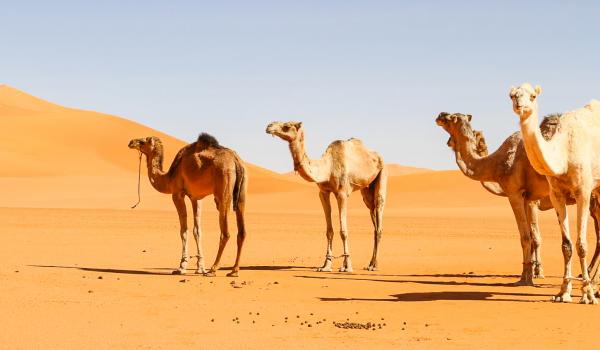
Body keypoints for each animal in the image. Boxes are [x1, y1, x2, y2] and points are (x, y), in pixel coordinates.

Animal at [126, 133, 248, 278]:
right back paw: (234, 270)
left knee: (225, 233)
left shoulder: (177, 194)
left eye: (143, 141)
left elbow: (184, 230)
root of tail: (236, 161)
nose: (131, 142)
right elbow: (197, 230)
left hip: (223, 187)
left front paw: (181, 267)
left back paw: (213, 269)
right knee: (242, 231)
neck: (169, 177)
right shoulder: (196, 197)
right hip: (242, 193)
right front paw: (200, 267)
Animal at [264, 121, 386, 272]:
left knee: (379, 213)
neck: (328, 168)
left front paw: (347, 266)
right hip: (366, 190)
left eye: (287, 125)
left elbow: (343, 231)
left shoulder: (342, 193)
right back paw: (369, 263)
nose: (269, 126)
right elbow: (329, 231)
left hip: (382, 173)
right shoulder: (323, 192)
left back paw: (374, 265)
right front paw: (326, 265)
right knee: (372, 213)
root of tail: (378, 156)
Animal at [434, 113, 600, 286]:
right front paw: (532, 272)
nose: (439, 115)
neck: (495, 164)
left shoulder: (516, 194)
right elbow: (533, 237)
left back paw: (592, 277)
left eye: (450, 118)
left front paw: (526, 277)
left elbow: (527, 237)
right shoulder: (528, 198)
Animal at [508, 82, 600, 304]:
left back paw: (595, 287)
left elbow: (581, 244)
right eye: (512, 95)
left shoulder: (584, 191)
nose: (519, 105)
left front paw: (587, 294)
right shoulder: (556, 194)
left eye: (533, 96)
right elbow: (566, 245)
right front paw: (563, 292)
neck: (564, 154)